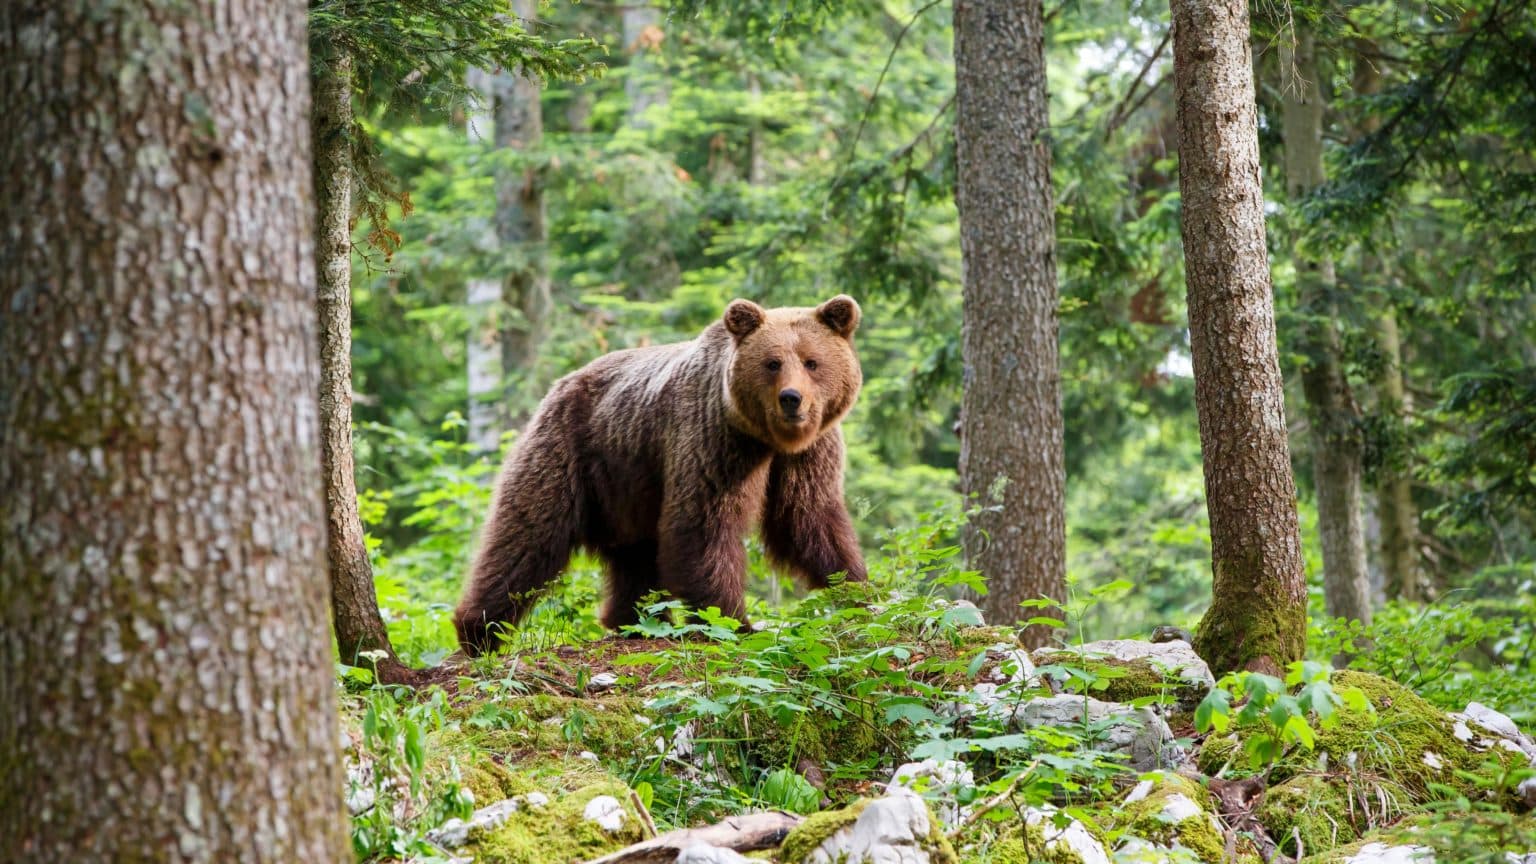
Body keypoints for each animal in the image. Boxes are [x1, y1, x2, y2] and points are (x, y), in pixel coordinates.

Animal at [448, 292, 872, 648]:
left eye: (812, 362)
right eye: (772, 363)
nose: (791, 399)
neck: (766, 439)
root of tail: (560, 384)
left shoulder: (809, 452)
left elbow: (808, 518)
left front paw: (859, 592)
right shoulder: (713, 439)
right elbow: (703, 522)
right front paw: (735, 622)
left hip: (626, 485)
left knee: (635, 556)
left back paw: (634, 621)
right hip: (570, 452)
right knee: (528, 534)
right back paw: (480, 632)